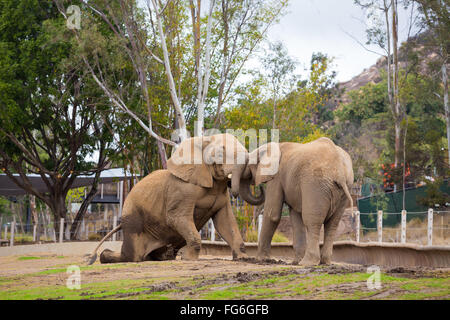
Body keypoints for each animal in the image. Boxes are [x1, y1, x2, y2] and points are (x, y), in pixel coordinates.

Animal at [86, 133, 266, 264]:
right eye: (220, 154)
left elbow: (225, 222)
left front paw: (243, 258)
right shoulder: (182, 189)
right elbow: (177, 218)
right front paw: (189, 259)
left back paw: (164, 256)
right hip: (132, 219)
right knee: (133, 256)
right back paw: (103, 257)